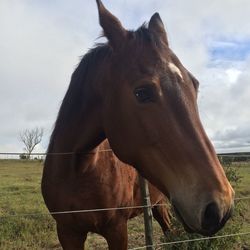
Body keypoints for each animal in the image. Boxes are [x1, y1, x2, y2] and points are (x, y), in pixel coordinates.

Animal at [42, 0, 234, 249]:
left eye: (195, 84)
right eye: (142, 92)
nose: (220, 207)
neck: (77, 169)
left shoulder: (116, 229)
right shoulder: (67, 232)